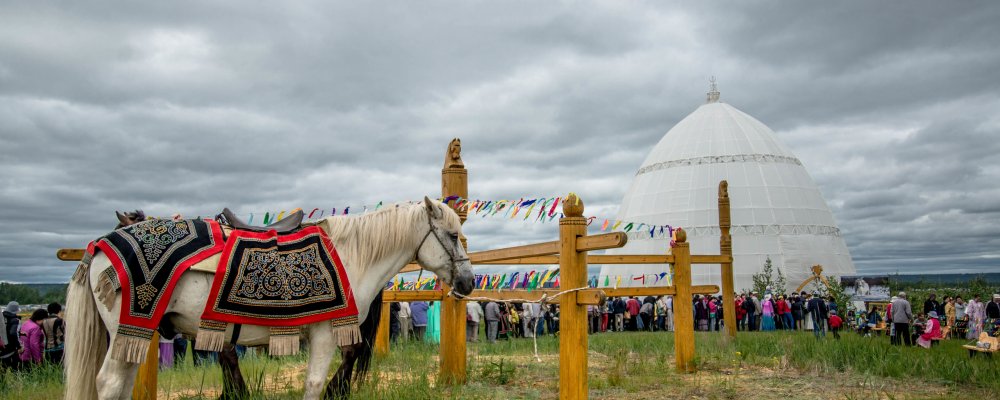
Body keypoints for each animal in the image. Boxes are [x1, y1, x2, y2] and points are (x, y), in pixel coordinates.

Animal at [65, 199, 472, 400]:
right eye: (453, 236)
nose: (468, 282)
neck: (349, 255)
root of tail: (100, 246)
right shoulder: (324, 335)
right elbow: (313, 385)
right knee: (110, 384)